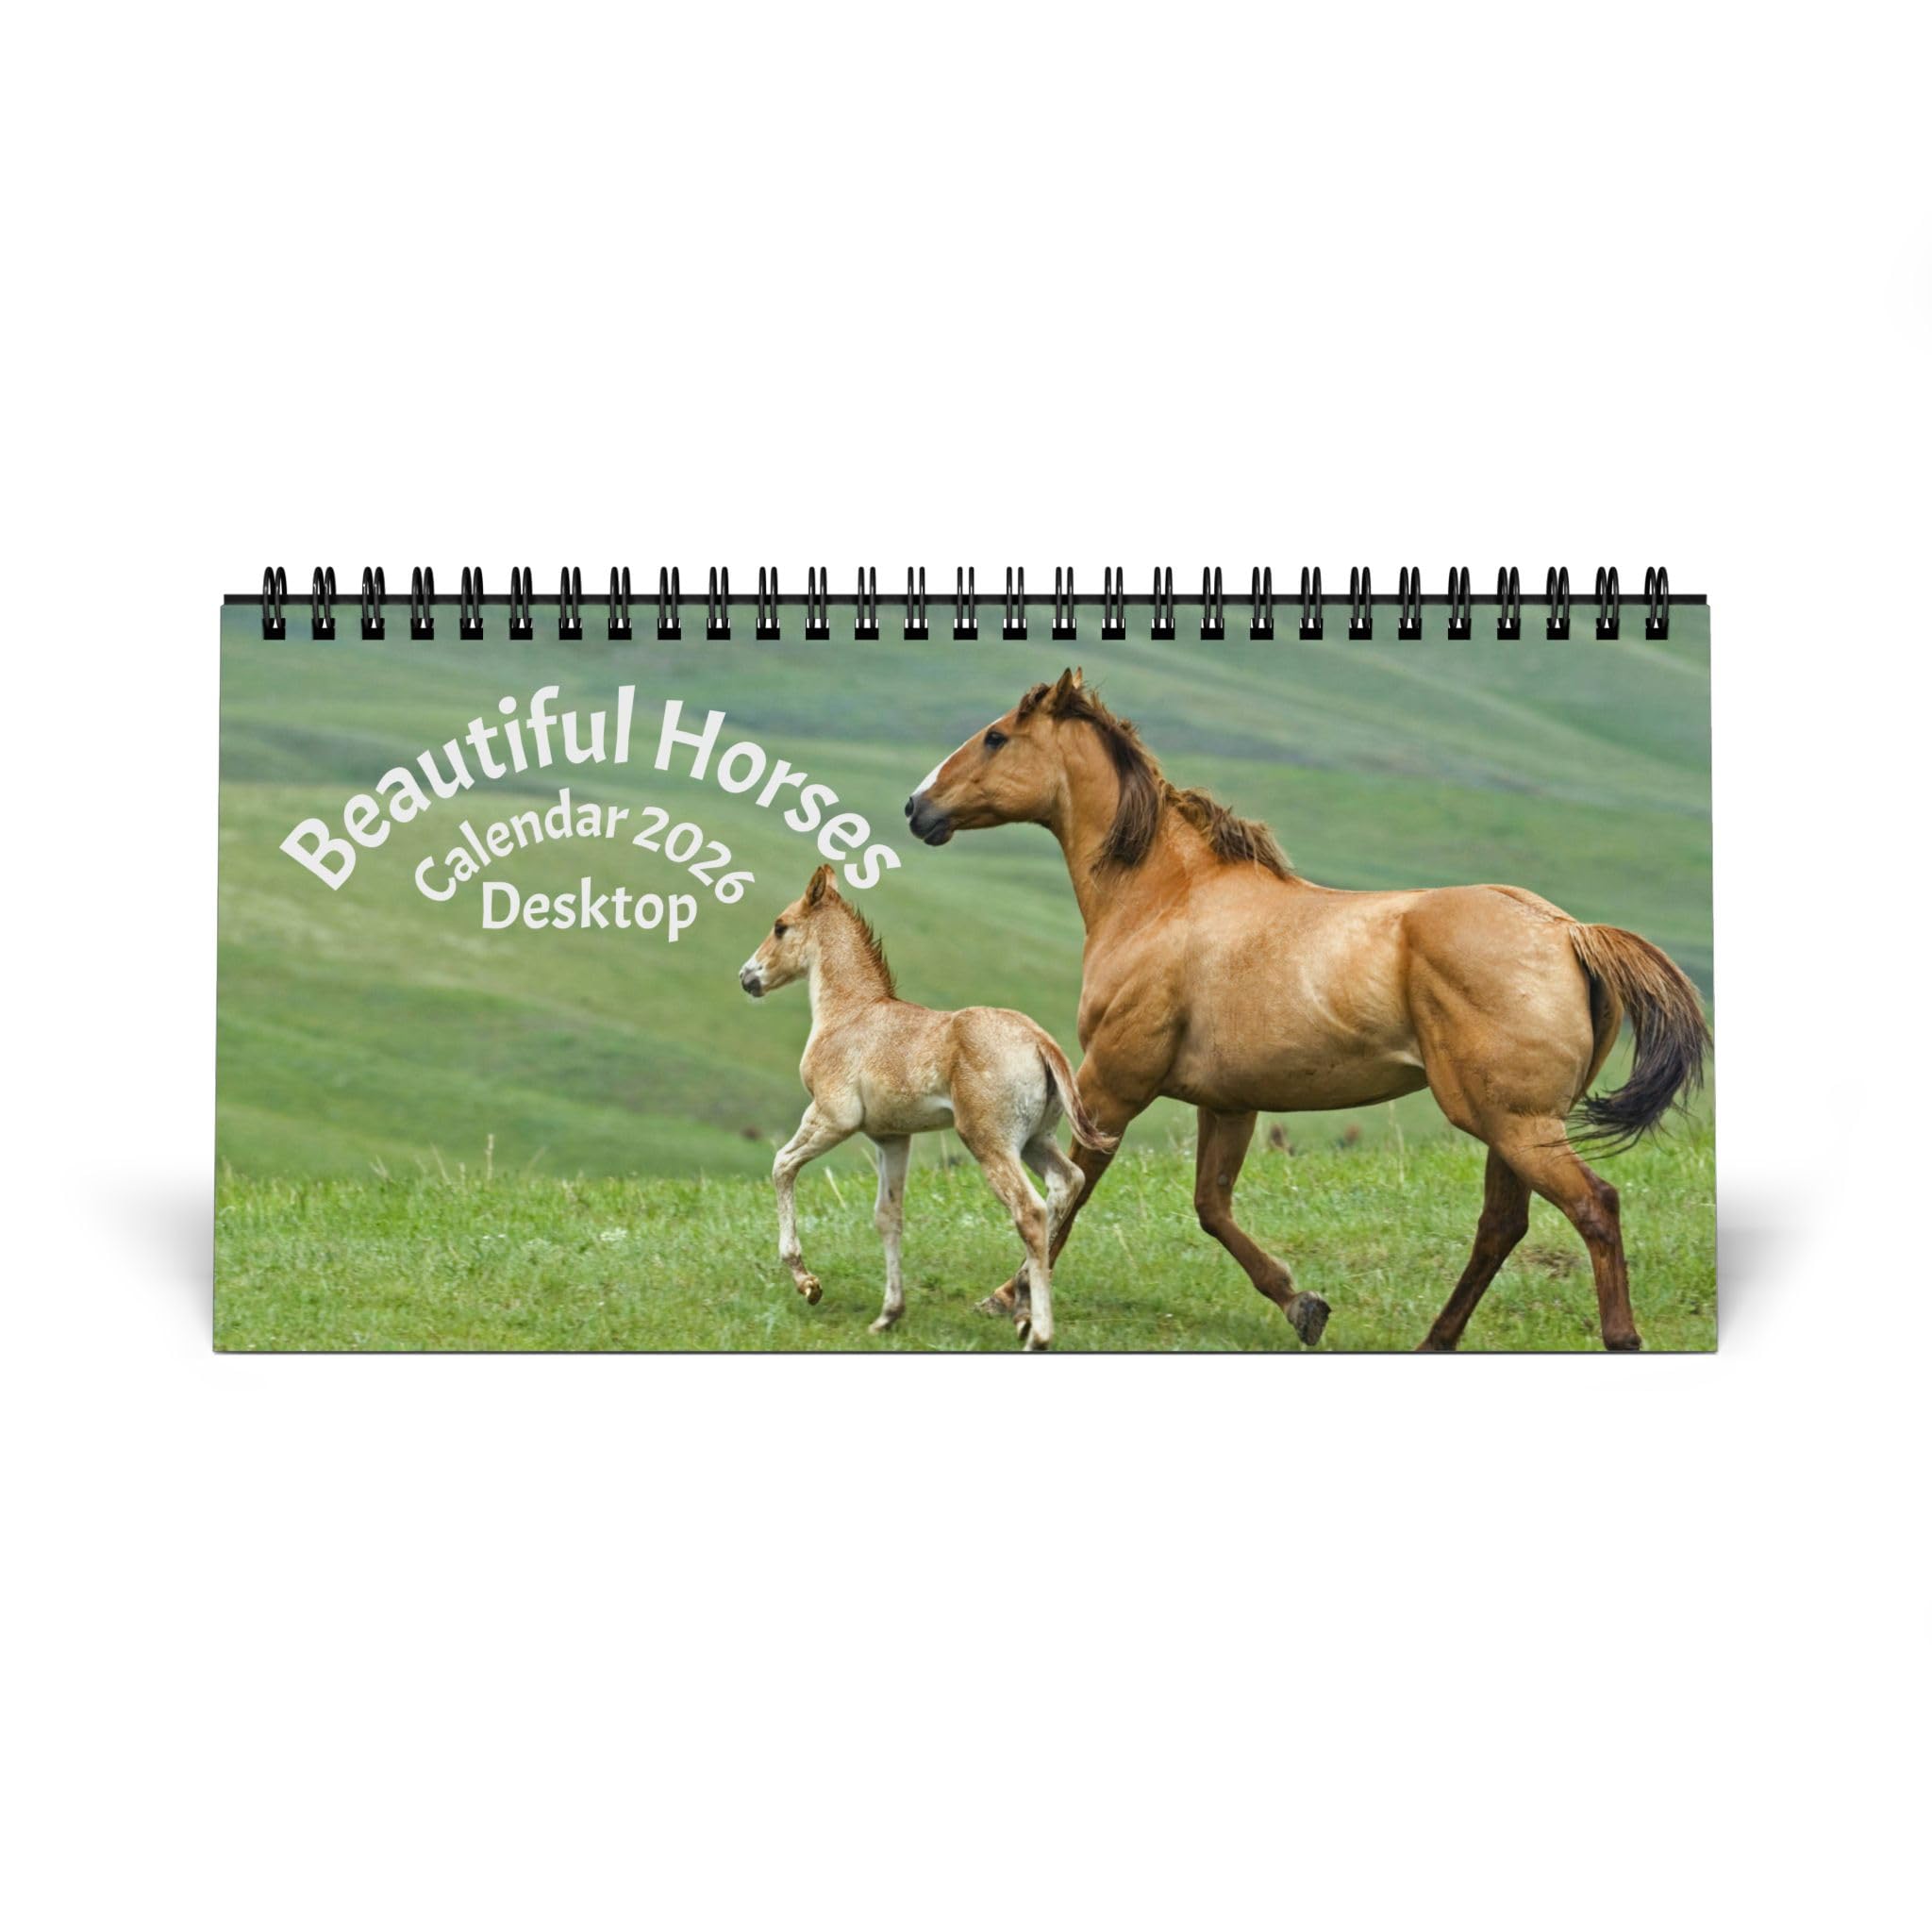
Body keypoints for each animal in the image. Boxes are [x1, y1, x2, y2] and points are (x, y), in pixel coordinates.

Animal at [738, 864, 1117, 1348]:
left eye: (780, 926)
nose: (748, 977)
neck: (851, 1013)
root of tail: (1040, 1041)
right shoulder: (892, 1137)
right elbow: (888, 1217)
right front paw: (888, 1315)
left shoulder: (831, 1117)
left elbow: (782, 1166)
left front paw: (807, 1282)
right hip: (1036, 1141)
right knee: (1068, 1183)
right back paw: (1020, 1306)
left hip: (989, 1143)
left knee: (1030, 1210)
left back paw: (1037, 1332)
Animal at [904, 668, 1709, 1352]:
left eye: (996, 736)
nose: (916, 807)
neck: (1161, 898)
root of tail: (1567, 931)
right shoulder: (1227, 1103)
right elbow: (1211, 1207)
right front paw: (1303, 1305)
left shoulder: (1112, 1083)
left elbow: (1072, 1189)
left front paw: (1010, 1297)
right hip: (1508, 1124)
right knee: (1502, 1225)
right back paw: (1435, 1339)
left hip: (1515, 1123)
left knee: (1594, 1206)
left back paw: (1619, 1338)